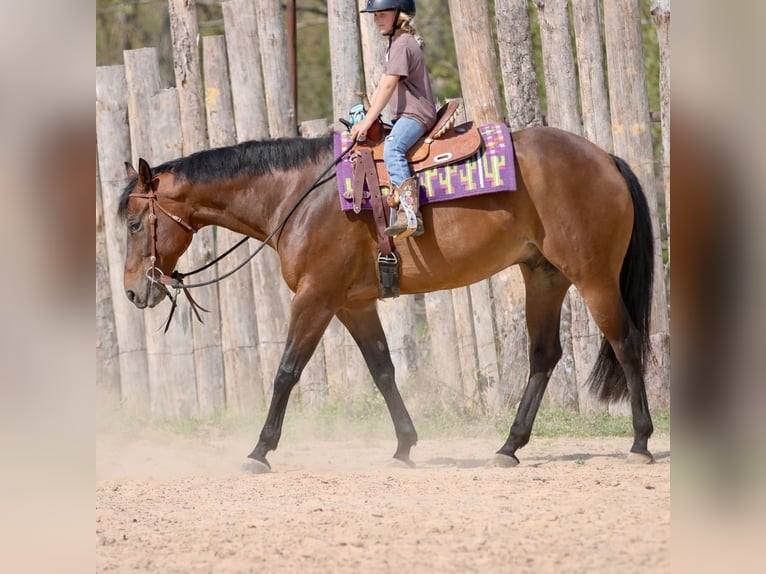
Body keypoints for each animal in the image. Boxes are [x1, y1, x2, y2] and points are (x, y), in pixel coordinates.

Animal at [119, 125, 656, 472]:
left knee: (627, 343)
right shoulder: (352, 304)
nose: (132, 290)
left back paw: (640, 441)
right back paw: (509, 446)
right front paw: (405, 446)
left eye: (134, 223)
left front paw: (260, 450)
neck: (299, 195)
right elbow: (382, 370)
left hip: (593, 276)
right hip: (543, 276)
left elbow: (287, 371)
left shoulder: (316, 298)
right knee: (544, 355)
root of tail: (605, 158)